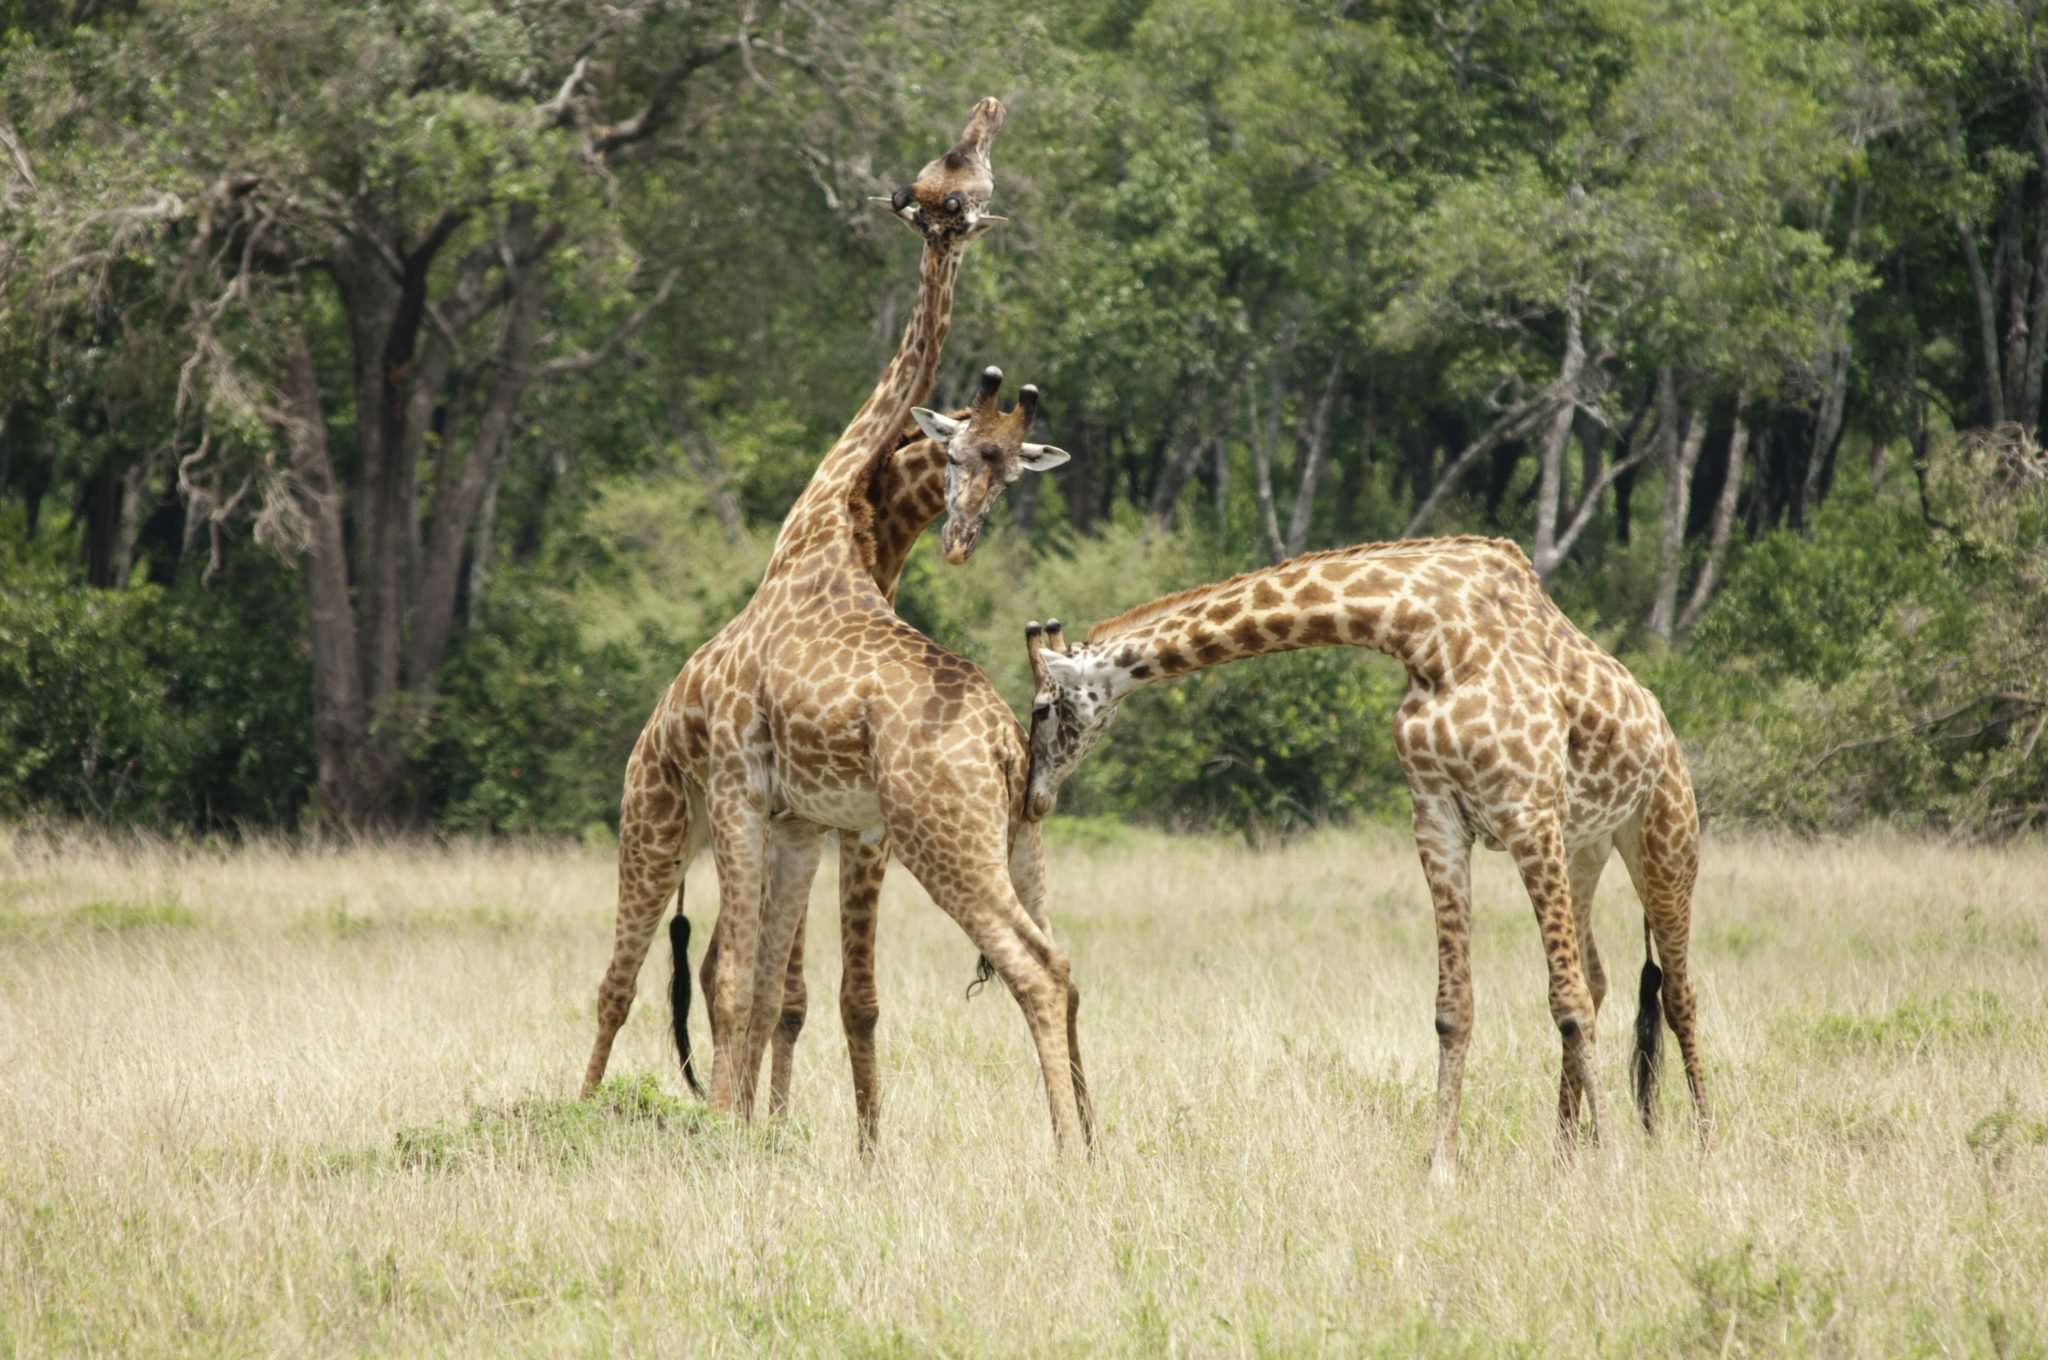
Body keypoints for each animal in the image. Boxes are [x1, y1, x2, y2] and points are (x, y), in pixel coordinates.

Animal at [579, 98, 1092, 1154]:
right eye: (951, 175)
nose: (913, 202)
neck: (826, 525)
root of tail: (1002, 742)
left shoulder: (763, 797)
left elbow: (753, 987)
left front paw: (741, 1139)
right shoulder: (799, 819)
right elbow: (772, 988)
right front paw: (773, 1139)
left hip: (896, 834)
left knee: (1033, 967)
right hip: (701, 818)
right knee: (632, 980)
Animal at [1021, 536, 1710, 1179]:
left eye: (1042, 707)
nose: (1033, 797)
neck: (1427, 636)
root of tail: (1667, 732)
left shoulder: (1527, 811)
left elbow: (1565, 1002)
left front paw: (1613, 1160)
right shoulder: (1437, 819)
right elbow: (1455, 1008)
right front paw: (1442, 1167)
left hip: (1663, 836)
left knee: (1676, 991)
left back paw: (1704, 1138)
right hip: (1585, 848)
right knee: (1599, 977)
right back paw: (1564, 1150)